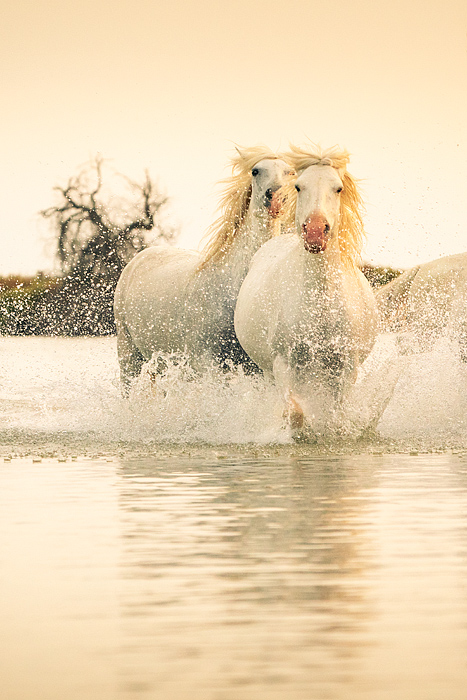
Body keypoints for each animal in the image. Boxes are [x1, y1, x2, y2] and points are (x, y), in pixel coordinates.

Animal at [113, 146, 292, 394]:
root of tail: (137, 260)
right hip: (128, 353)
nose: (276, 198)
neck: (234, 284)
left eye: (290, 172)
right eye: (256, 171)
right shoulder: (208, 365)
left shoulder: (257, 369)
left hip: (159, 363)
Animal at [234, 145, 380, 434]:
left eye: (338, 188)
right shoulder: (283, 364)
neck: (320, 302)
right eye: (299, 187)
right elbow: (294, 414)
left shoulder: (346, 367)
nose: (314, 232)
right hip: (269, 371)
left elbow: (335, 414)